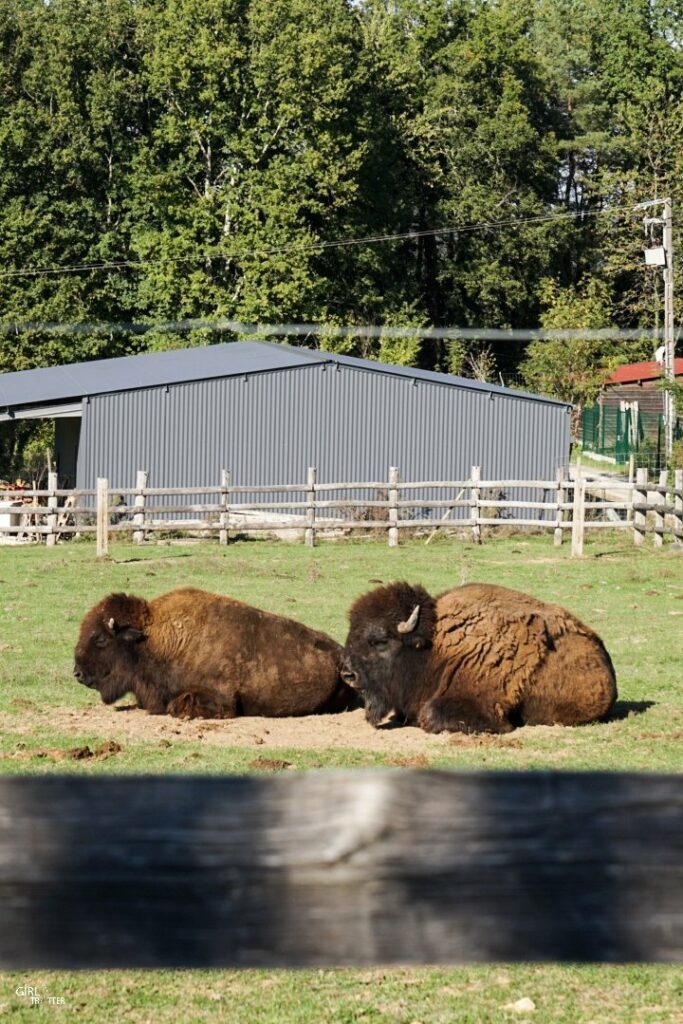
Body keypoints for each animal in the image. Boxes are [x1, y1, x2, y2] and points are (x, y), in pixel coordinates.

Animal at [74, 585, 358, 720]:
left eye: (100, 638)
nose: (77, 673)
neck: (153, 638)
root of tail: (341, 656)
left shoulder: (221, 699)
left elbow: (177, 706)